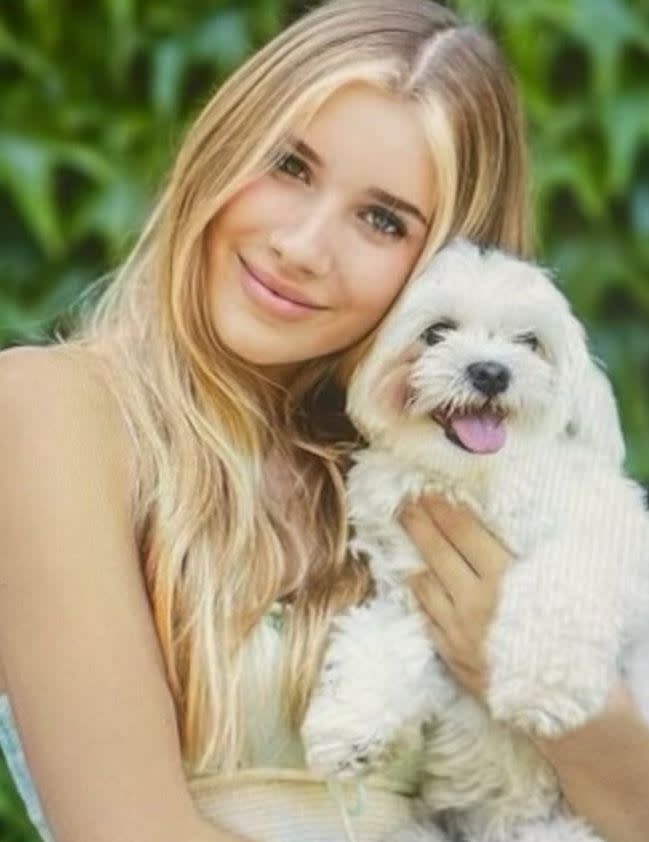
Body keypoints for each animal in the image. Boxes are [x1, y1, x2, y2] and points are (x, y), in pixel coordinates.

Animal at [302, 238, 648, 840]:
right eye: (437, 332)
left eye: (529, 342)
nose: (490, 372)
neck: (473, 484)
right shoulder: (412, 594)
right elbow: (379, 638)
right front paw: (350, 724)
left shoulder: (610, 541)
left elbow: (558, 581)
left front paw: (539, 684)